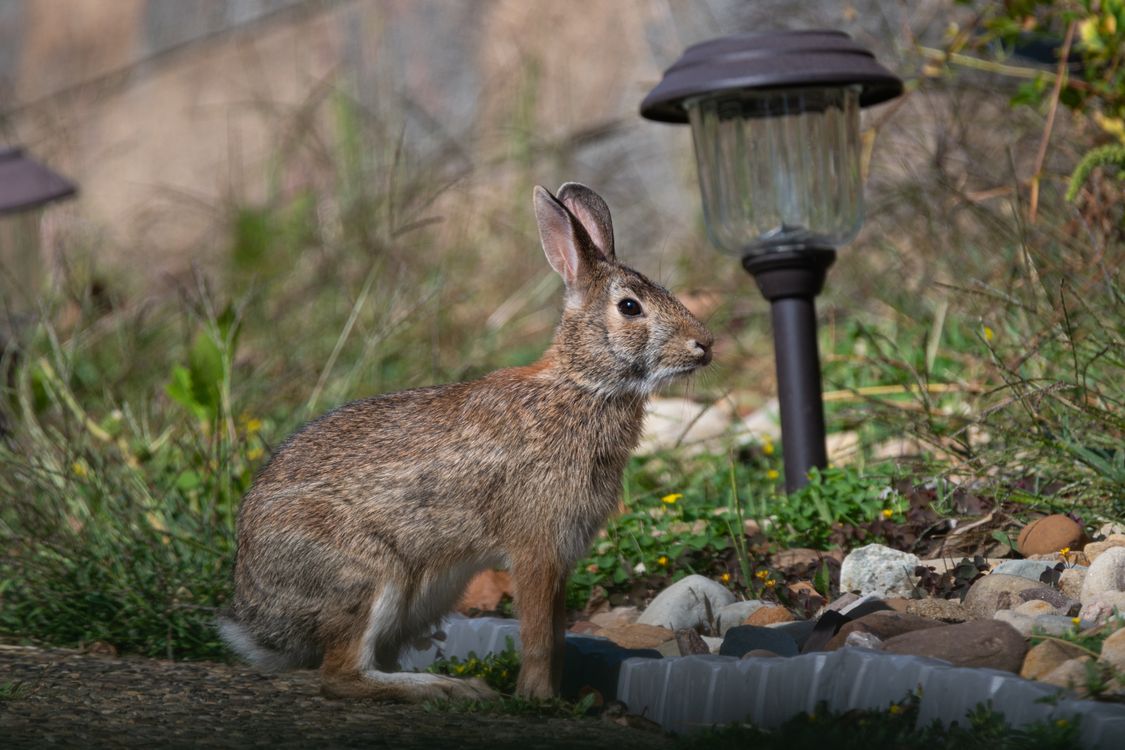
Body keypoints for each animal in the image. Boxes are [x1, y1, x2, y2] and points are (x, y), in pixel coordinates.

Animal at [218, 182, 713, 703]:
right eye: (630, 307)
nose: (705, 344)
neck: (582, 385)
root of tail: (256, 613)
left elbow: (556, 634)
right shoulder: (537, 547)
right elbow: (539, 636)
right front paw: (538, 700)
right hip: (365, 575)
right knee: (341, 674)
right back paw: (452, 688)